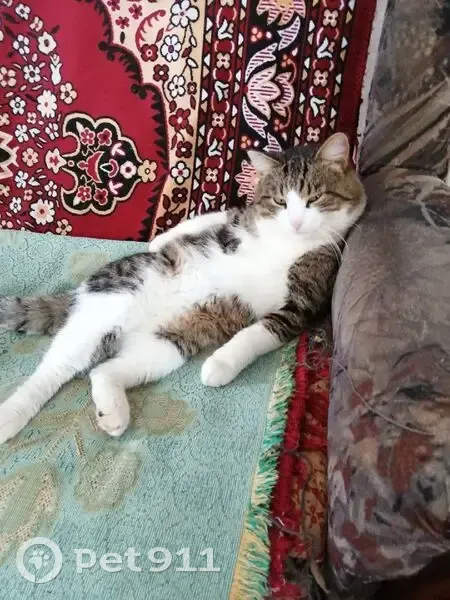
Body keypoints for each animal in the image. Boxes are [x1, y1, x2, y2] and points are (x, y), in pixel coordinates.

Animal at [0, 133, 365, 443]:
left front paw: (220, 364)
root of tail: (80, 293)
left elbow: (256, 334)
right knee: (55, 368)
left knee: (103, 370)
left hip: (165, 347)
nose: (296, 222)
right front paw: (160, 240)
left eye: (314, 199)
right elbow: (215, 215)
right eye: (280, 201)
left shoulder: (304, 300)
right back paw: (13, 414)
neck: (289, 242)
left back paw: (113, 411)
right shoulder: (241, 221)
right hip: (107, 308)